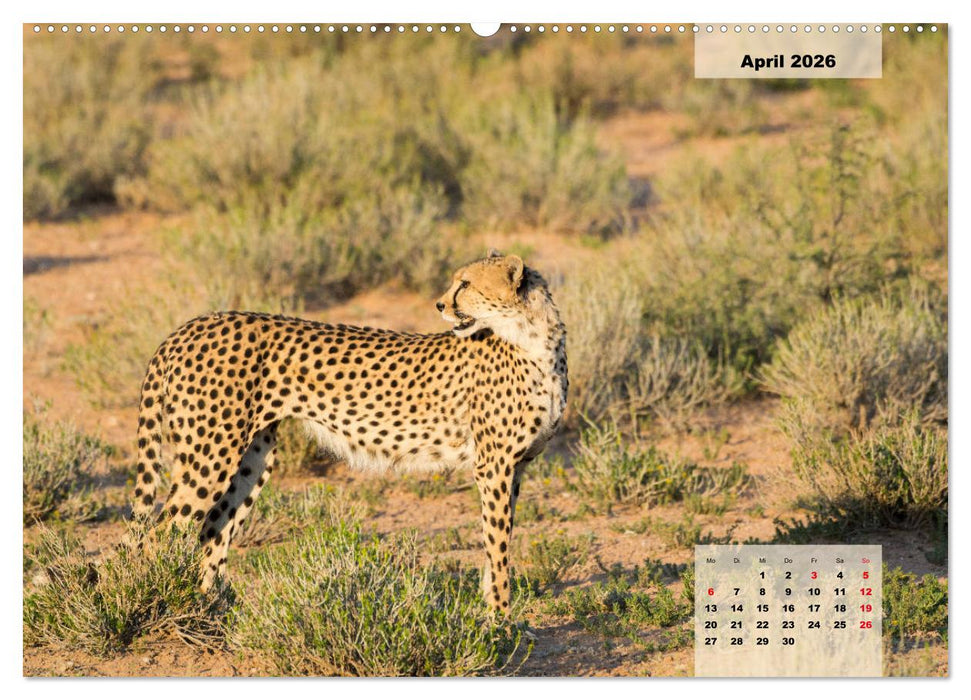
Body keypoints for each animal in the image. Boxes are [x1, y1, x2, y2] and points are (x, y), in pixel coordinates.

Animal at [132, 251, 568, 612]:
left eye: (466, 284)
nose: (440, 304)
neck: (534, 340)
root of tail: (193, 324)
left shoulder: (515, 467)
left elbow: (496, 544)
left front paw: (492, 610)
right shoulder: (494, 466)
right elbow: (499, 547)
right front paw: (500, 620)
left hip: (252, 458)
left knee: (212, 529)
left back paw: (215, 611)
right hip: (211, 454)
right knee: (159, 534)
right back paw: (159, 605)